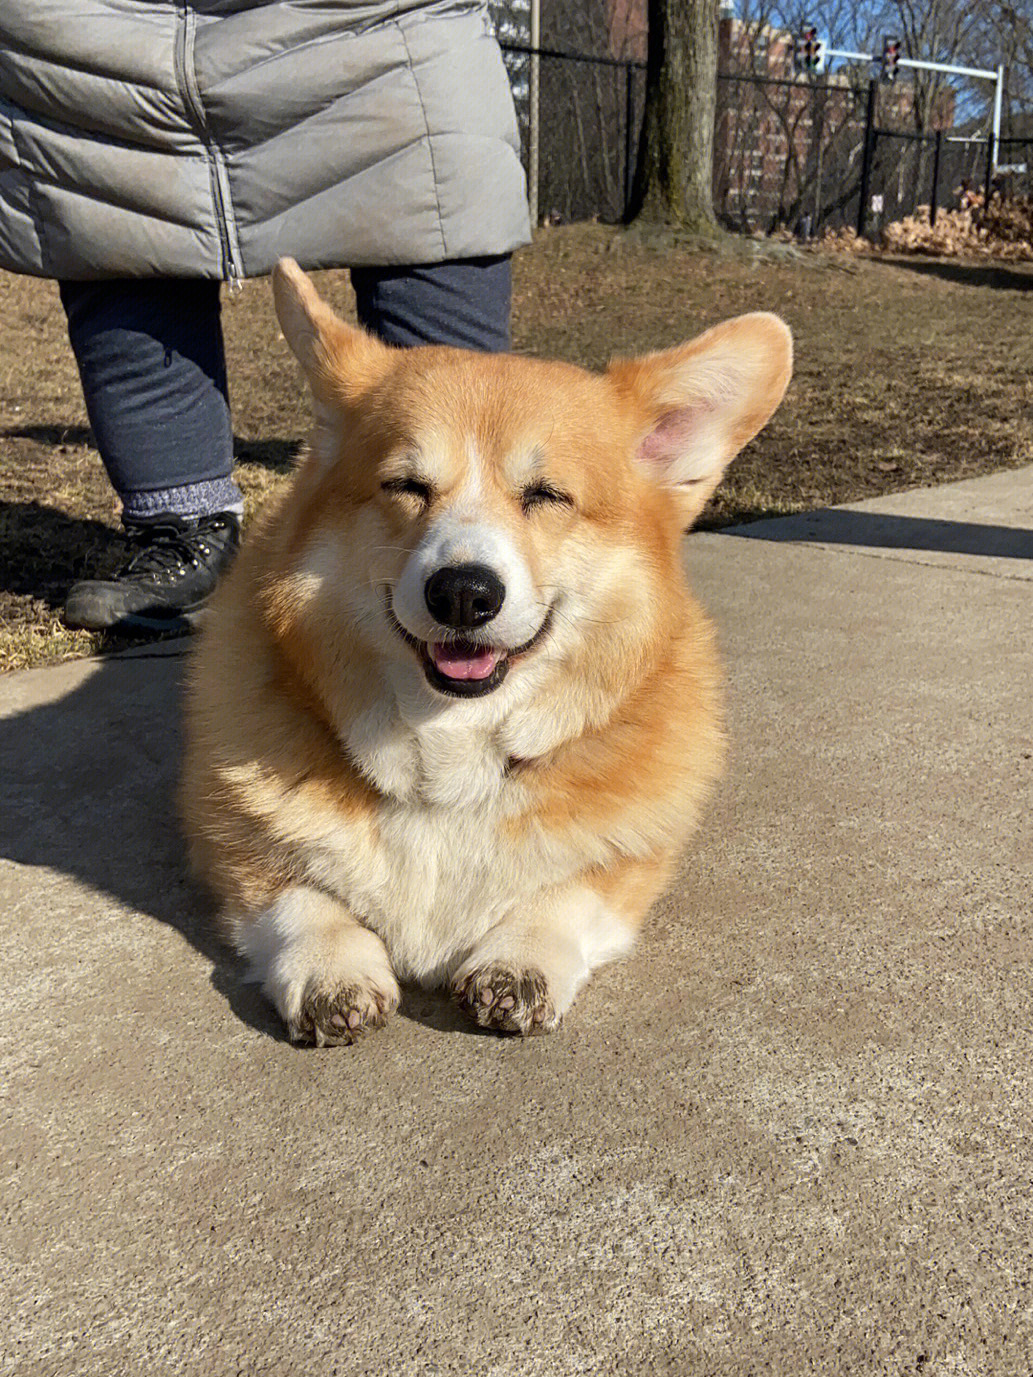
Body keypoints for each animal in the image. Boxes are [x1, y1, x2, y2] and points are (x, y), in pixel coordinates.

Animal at [180, 260, 793, 1041]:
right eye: (405, 485)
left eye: (548, 495)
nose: (464, 595)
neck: (450, 750)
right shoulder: (228, 842)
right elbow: (296, 896)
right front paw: (330, 965)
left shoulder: (630, 860)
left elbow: (567, 891)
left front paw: (520, 959)